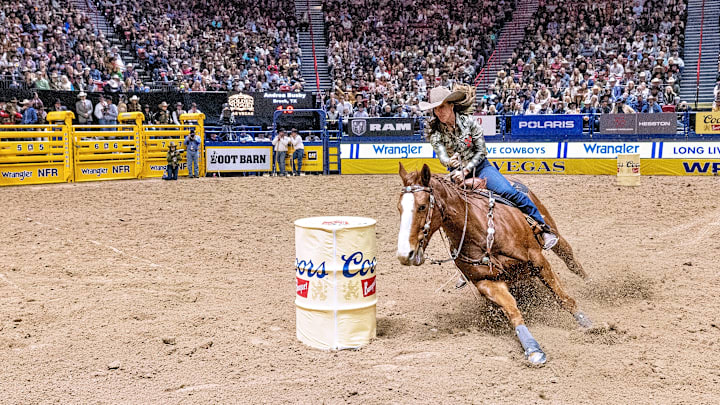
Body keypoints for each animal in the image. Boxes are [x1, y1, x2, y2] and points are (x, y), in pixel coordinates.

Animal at [396, 163, 591, 365]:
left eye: (422, 206)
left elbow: (564, 298)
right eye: (399, 208)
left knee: (571, 260)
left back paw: (592, 286)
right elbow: (512, 311)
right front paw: (533, 349)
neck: (480, 233)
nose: (405, 254)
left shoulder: (538, 260)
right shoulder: (487, 282)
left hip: (553, 232)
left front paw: (587, 324)